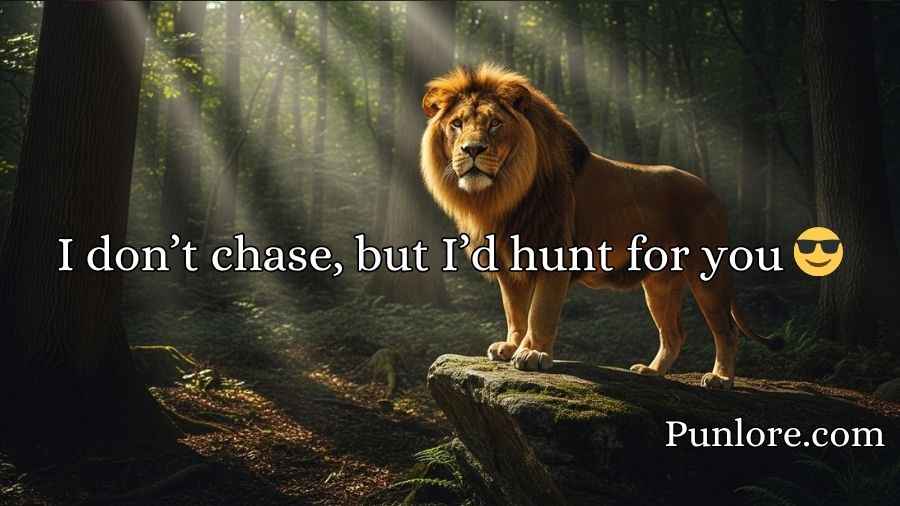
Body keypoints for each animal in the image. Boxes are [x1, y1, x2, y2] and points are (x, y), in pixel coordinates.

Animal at [419, 64, 783, 390]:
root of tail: (713, 193)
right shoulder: (509, 262)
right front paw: (511, 346)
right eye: (457, 124)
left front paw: (533, 353)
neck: (501, 195)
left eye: (494, 123)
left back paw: (721, 378)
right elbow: (515, 312)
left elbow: (540, 311)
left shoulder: (555, 252)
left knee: (726, 330)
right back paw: (652, 372)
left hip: (707, 272)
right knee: (674, 332)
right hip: (660, 284)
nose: (472, 149)